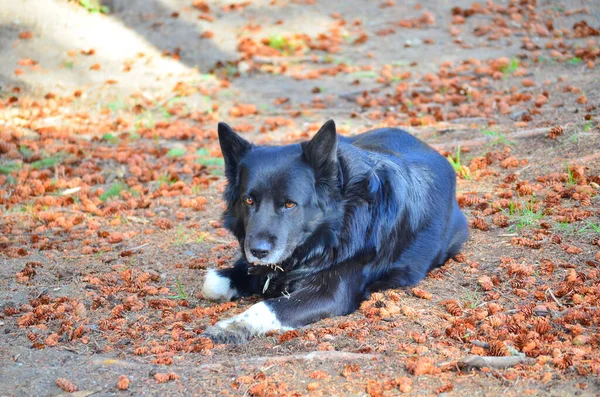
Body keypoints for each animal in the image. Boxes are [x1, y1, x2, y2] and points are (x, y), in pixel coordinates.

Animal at [202, 119, 468, 342]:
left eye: (289, 204)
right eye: (249, 200)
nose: (258, 251)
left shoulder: (330, 294)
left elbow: (267, 306)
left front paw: (232, 327)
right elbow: (210, 284)